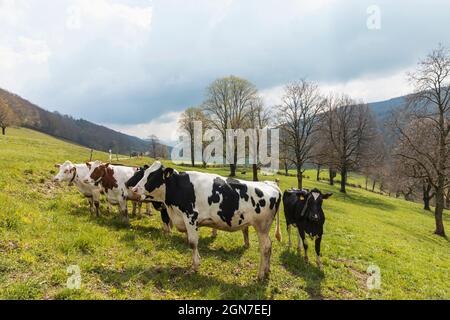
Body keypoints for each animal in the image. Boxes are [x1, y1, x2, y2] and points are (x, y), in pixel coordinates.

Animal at [131, 161, 282, 278]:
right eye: (145, 173)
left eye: (152, 176)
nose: (134, 189)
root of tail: (272, 185)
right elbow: (190, 241)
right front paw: (195, 262)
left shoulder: (191, 217)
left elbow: (192, 243)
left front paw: (194, 267)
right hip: (264, 228)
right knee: (270, 246)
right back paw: (267, 270)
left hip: (261, 227)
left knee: (265, 248)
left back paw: (260, 275)